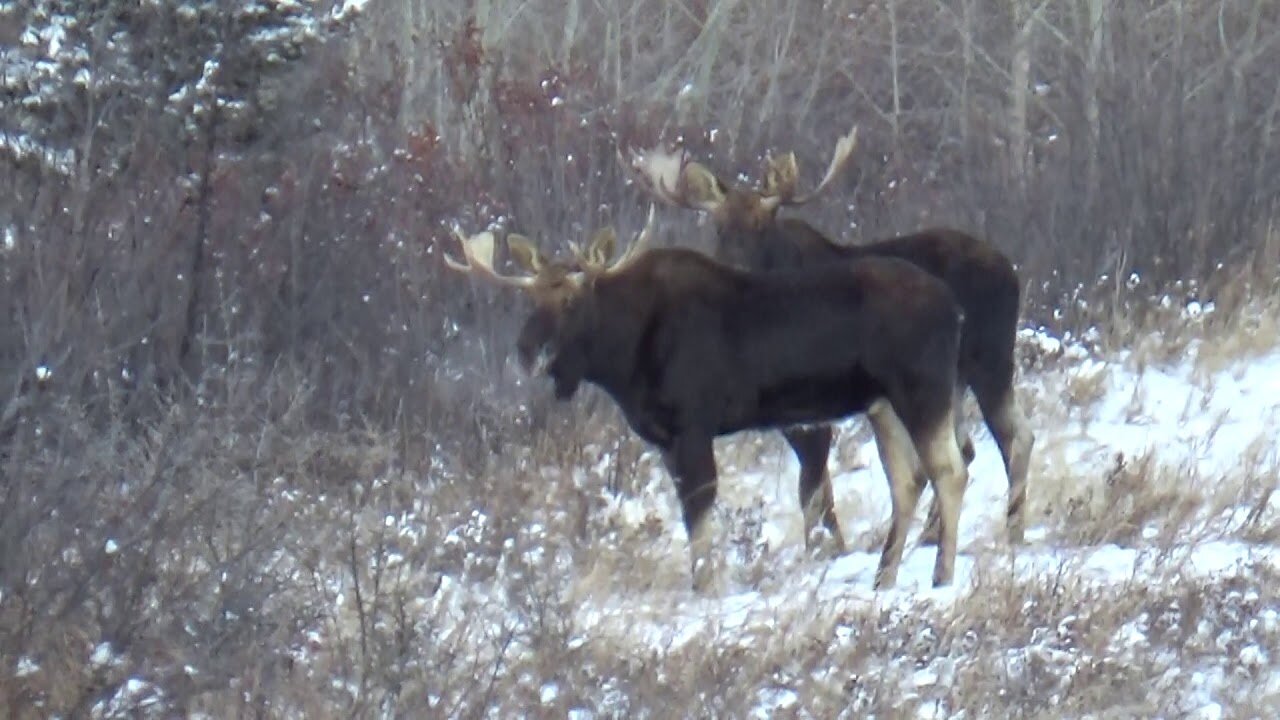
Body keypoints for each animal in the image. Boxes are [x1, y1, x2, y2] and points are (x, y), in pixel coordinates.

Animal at [440, 206, 967, 589]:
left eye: (570, 300)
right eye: (530, 301)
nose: (529, 352)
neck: (622, 357)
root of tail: (952, 305)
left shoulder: (692, 427)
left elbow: (700, 514)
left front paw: (706, 587)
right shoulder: (664, 439)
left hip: (922, 389)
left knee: (950, 470)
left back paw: (941, 573)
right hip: (881, 405)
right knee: (908, 480)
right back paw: (884, 576)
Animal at [624, 124, 1034, 548]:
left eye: (761, 227)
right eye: (719, 228)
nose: (731, 267)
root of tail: (1011, 271)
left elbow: (812, 486)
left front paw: (828, 547)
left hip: (989, 360)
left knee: (1014, 436)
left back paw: (1011, 529)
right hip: (950, 382)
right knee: (967, 447)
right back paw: (934, 534)